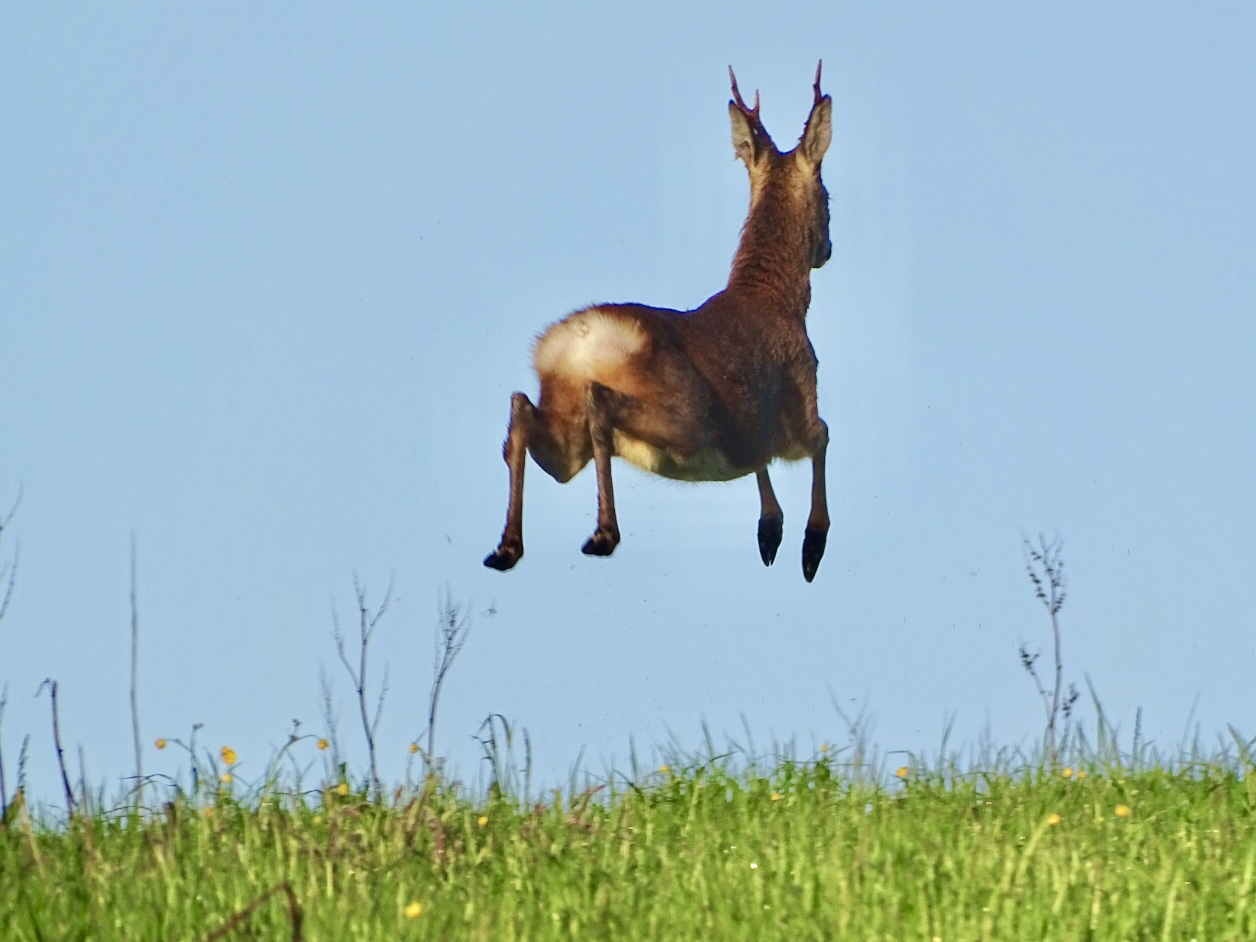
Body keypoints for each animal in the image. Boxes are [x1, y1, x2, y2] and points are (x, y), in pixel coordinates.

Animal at [484, 64, 834, 581]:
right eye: (828, 194)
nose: (827, 248)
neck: (778, 301)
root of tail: (576, 341)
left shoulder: (754, 429)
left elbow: (759, 462)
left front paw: (770, 531)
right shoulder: (799, 401)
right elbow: (822, 436)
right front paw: (811, 544)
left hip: (569, 438)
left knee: (523, 412)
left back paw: (508, 546)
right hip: (686, 418)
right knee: (599, 404)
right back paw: (602, 533)